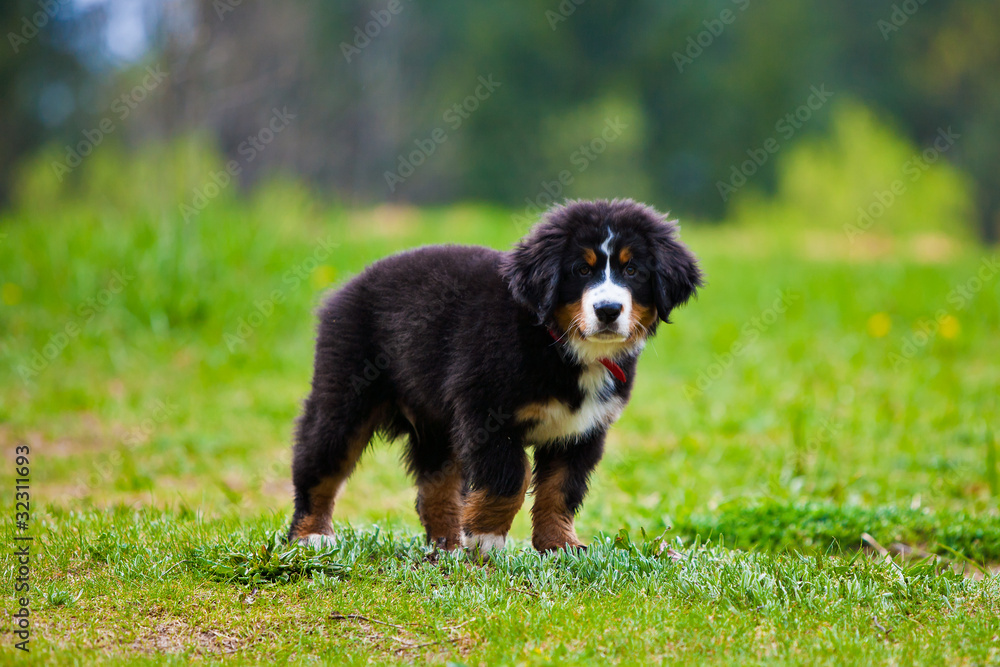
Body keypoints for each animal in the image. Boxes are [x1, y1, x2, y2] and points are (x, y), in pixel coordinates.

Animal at [286, 201, 700, 556]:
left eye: (633, 271)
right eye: (581, 270)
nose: (609, 310)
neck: (556, 342)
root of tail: (347, 288)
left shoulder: (582, 429)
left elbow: (560, 489)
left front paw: (559, 544)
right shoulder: (487, 412)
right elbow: (510, 477)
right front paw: (486, 538)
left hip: (437, 423)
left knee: (434, 488)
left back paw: (448, 546)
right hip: (344, 396)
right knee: (318, 467)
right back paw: (313, 535)